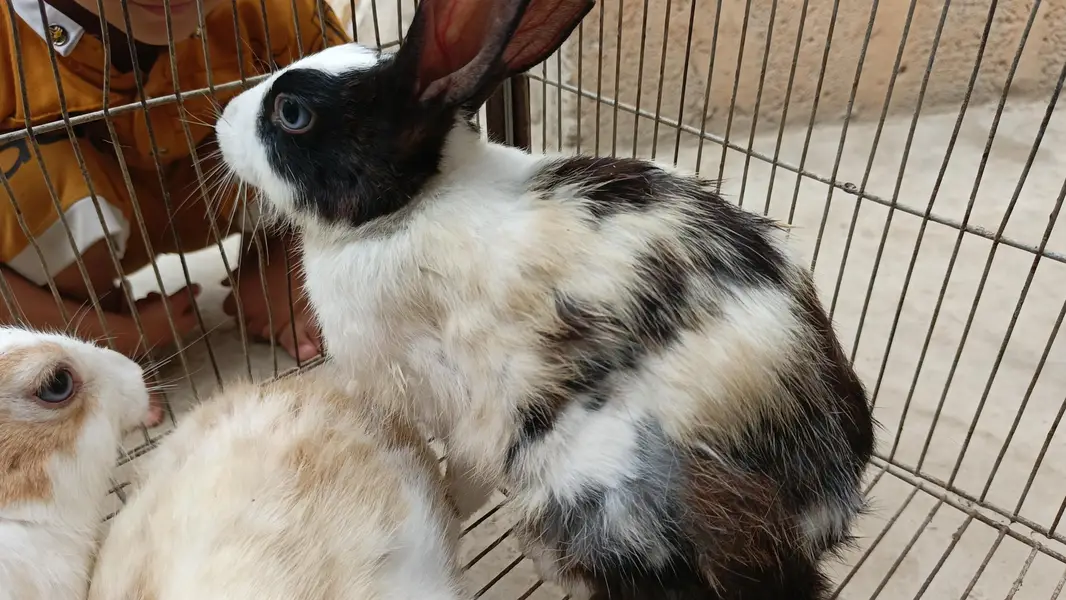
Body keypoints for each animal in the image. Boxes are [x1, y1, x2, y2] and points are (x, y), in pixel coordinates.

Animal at [213, 0, 877, 595]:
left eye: (292, 112)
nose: (221, 119)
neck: (407, 207)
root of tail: (818, 505)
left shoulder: (456, 402)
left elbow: (465, 471)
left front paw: (449, 507)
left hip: (597, 484)